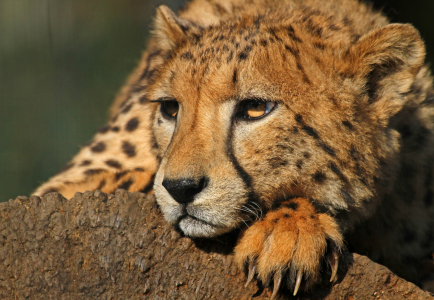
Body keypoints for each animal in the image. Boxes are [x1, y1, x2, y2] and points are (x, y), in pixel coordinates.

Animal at [34, 0, 434, 296]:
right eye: (170, 108)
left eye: (255, 108)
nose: (180, 189)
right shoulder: (66, 186)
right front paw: (290, 232)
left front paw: (285, 232)